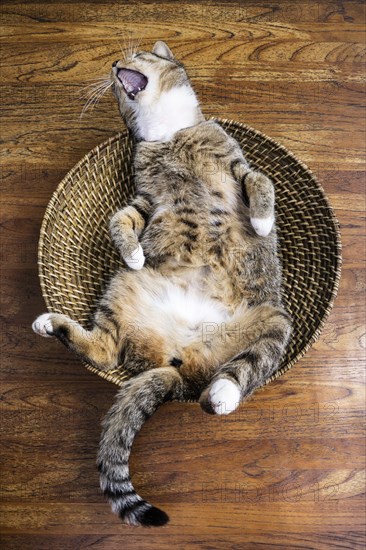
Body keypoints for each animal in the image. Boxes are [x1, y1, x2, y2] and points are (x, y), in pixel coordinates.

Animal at [33, 41, 294, 528]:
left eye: (136, 53)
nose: (114, 63)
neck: (169, 133)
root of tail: (182, 363)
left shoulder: (237, 163)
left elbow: (260, 181)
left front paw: (263, 221)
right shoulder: (144, 198)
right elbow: (121, 218)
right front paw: (133, 249)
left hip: (275, 321)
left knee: (247, 368)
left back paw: (222, 395)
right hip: (123, 288)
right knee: (104, 349)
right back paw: (49, 324)